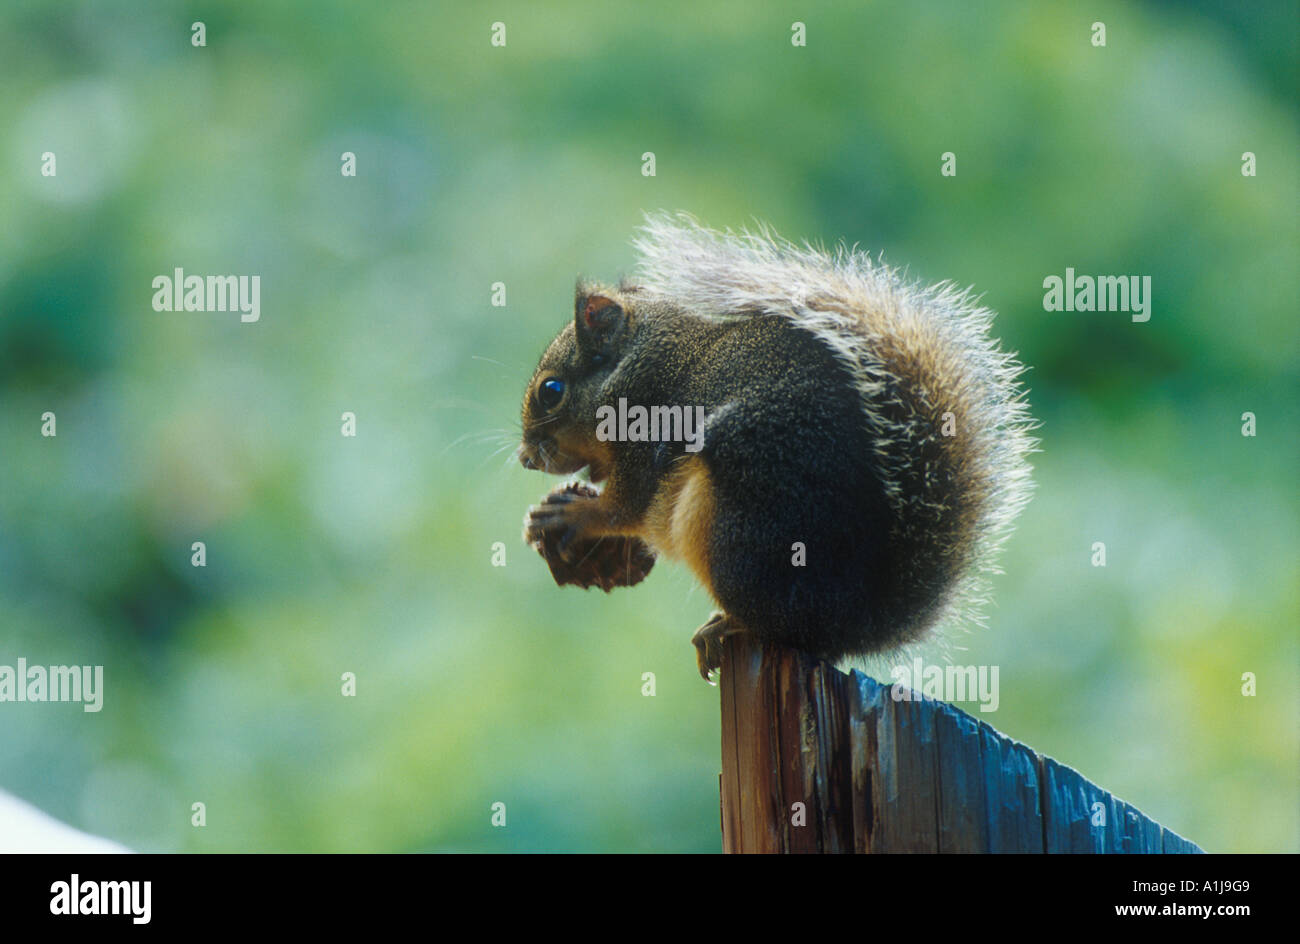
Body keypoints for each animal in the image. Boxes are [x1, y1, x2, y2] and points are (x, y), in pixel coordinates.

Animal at [519, 212, 1035, 681]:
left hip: (735, 531)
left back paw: (726, 625)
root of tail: (849, 625)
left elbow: (623, 508)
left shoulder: (646, 434)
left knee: (771, 622)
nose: (526, 458)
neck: (644, 359)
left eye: (551, 390)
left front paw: (573, 514)